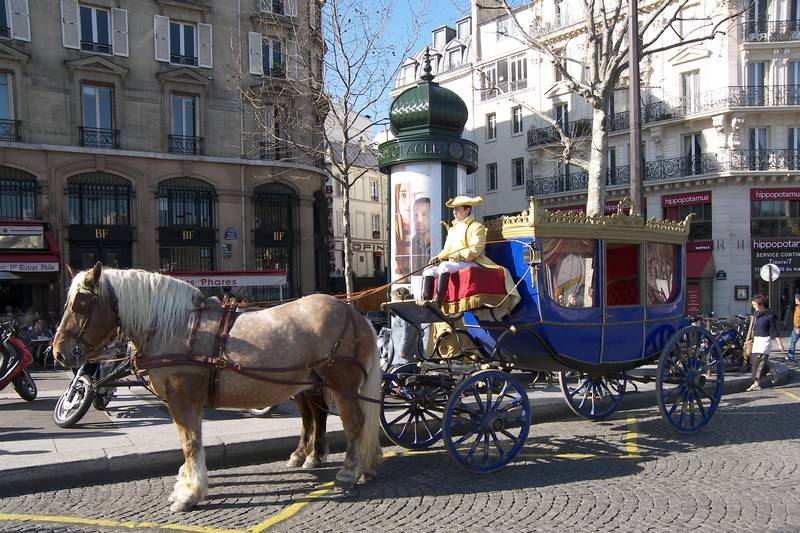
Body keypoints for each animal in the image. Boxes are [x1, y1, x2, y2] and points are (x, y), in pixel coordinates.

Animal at [51, 262, 382, 512]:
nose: (58, 352)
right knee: (322, 416)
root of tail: (355, 315)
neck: (175, 328)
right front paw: (185, 481)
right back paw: (334, 460)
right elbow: (189, 443)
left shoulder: (183, 399)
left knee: (354, 422)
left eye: (81, 303)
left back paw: (349, 471)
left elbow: (190, 442)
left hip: (340, 383)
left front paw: (189, 492)